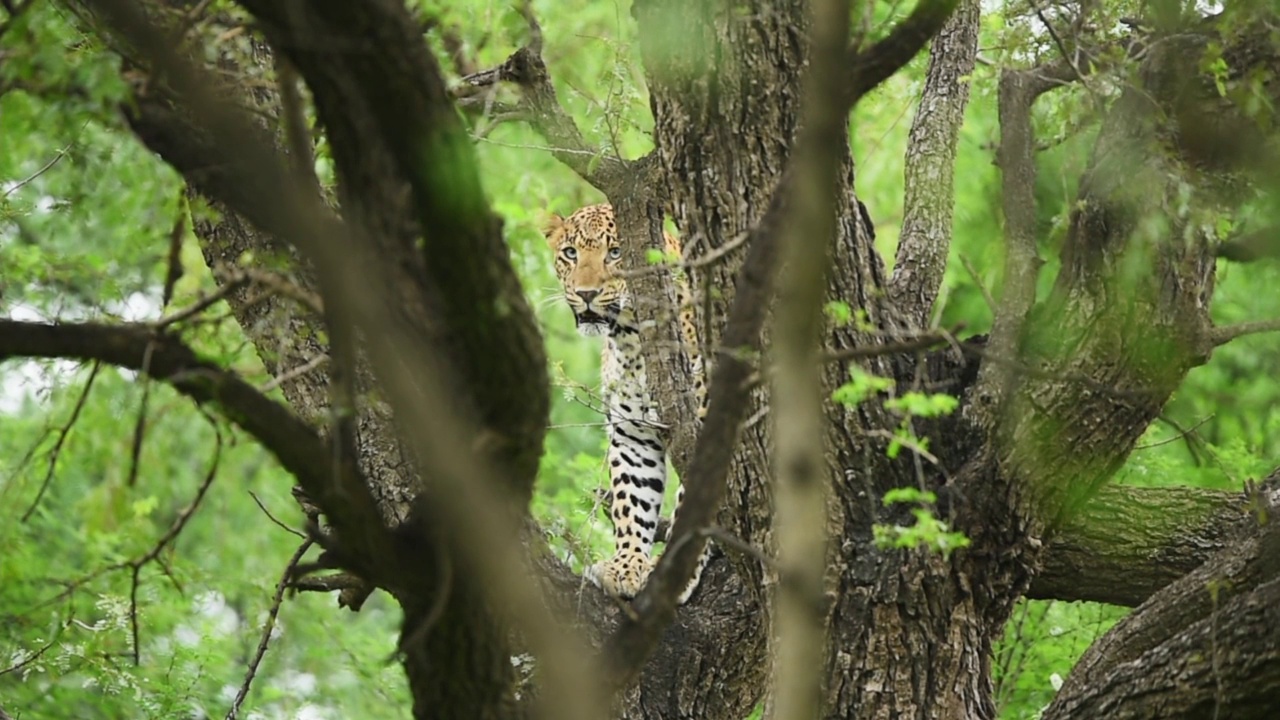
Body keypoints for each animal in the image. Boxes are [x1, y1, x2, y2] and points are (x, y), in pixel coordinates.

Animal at [540, 204, 711, 602]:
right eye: (570, 253)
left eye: (616, 252)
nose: (586, 293)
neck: (634, 340)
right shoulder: (634, 436)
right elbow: (631, 502)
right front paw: (626, 566)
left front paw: (675, 573)